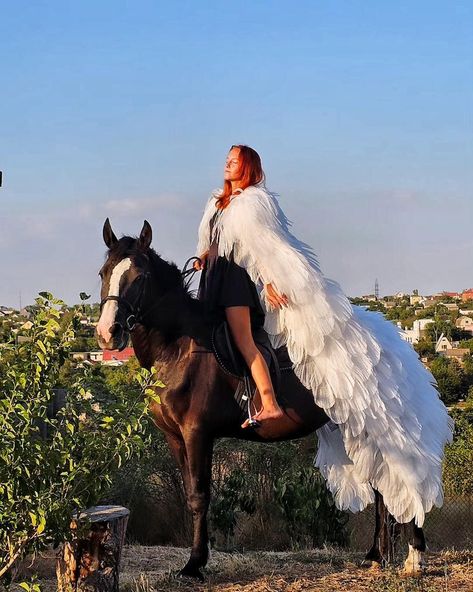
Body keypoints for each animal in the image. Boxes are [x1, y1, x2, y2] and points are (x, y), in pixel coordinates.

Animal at [96, 221, 424, 580]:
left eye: (139, 277)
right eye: (103, 273)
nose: (108, 333)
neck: (179, 348)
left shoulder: (198, 433)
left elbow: (199, 496)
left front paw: (195, 563)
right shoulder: (174, 436)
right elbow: (189, 492)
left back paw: (413, 557)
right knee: (382, 486)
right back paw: (378, 555)